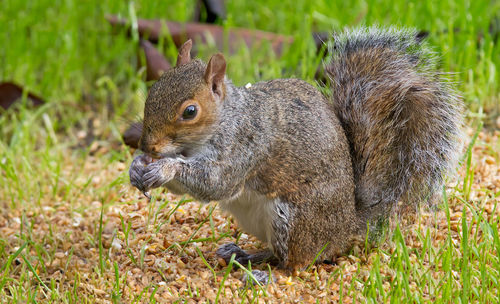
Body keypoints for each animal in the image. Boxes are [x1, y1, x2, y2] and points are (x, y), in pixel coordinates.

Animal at [130, 27, 464, 270]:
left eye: (190, 111)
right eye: (153, 89)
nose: (148, 145)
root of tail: (347, 227)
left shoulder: (246, 146)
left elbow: (216, 184)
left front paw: (164, 167)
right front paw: (137, 166)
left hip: (292, 220)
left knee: (295, 262)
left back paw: (263, 272)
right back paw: (244, 255)